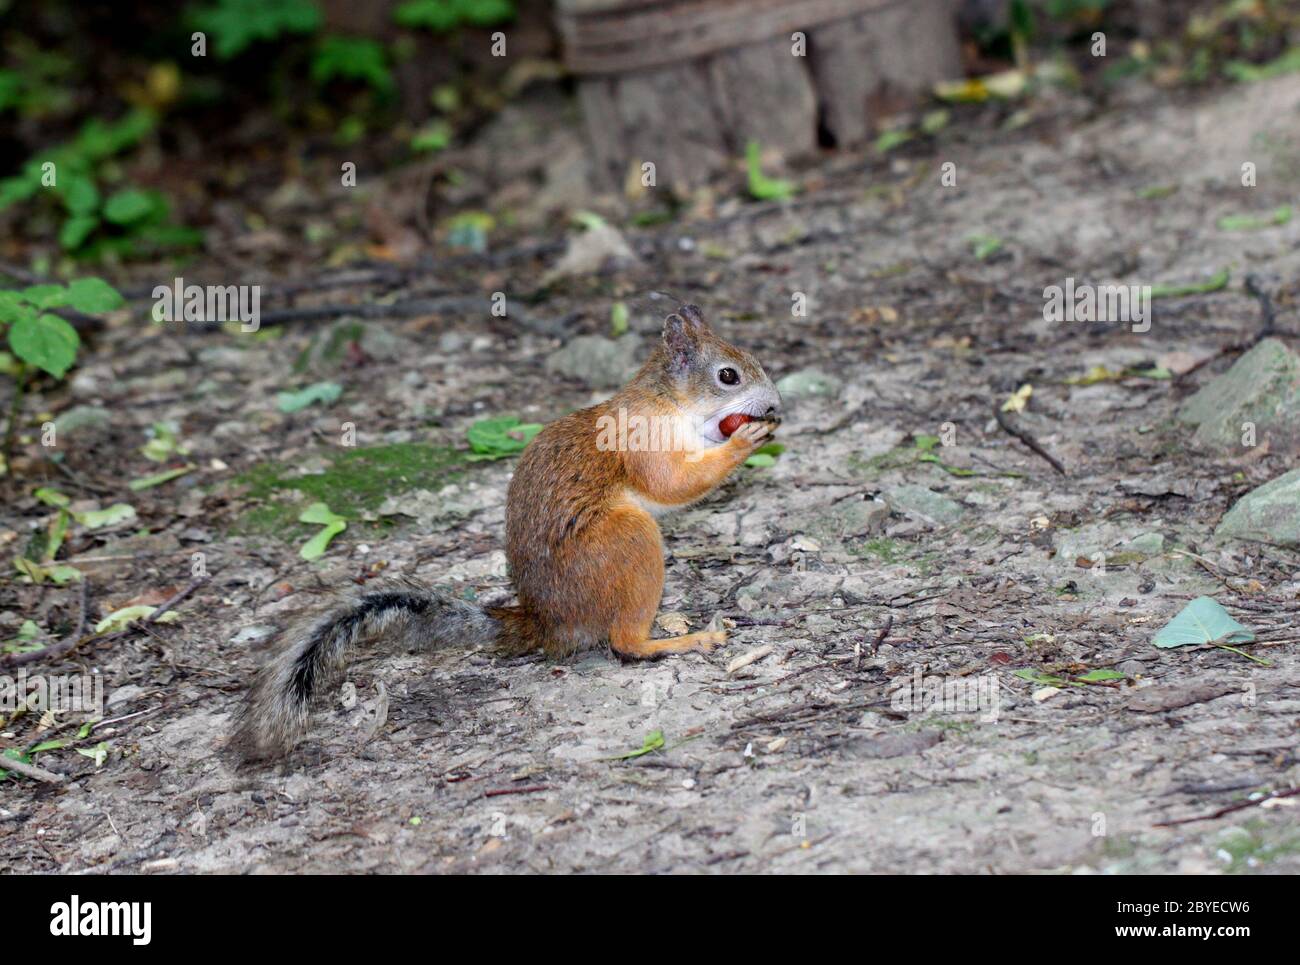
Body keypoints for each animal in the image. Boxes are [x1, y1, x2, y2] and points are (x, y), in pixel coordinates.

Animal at [233, 304, 782, 760]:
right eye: (727, 376)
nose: (775, 404)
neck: (671, 402)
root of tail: (548, 623)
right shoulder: (643, 439)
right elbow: (672, 483)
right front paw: (748, 439)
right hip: (627, 538)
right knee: (623, 641)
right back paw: (679, 641)